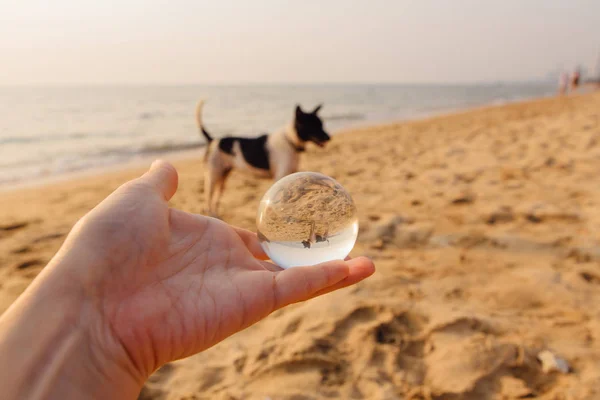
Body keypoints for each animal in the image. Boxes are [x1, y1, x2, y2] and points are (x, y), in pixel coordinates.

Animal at [196, 100, 328, 216]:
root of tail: (213, 140)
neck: (289, 140)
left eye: (321, 125)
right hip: (212, 176)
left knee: (215, 199)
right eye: (313, 126)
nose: (329, 137)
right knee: (207, 199)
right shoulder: (280, 176)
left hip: (222, 177)